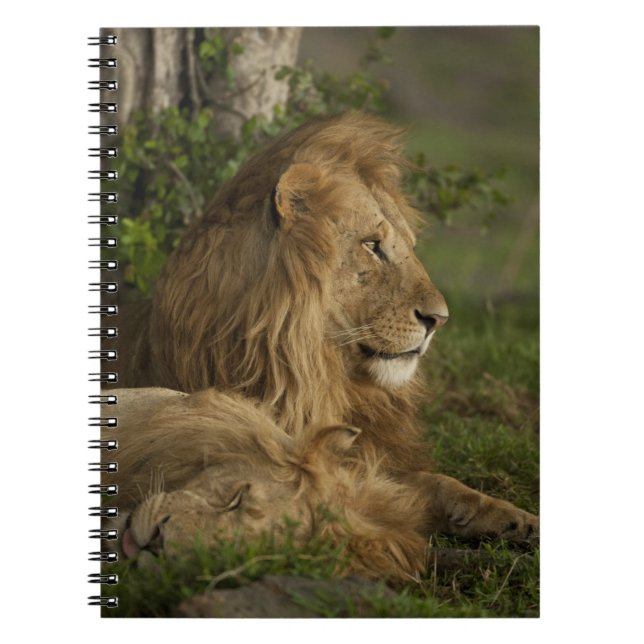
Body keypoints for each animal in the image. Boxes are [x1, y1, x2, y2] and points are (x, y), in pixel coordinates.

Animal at [112, 111, 538, 542]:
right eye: (371, 245)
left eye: (410, 246)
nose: (439, 319)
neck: (320, 376)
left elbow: (438, 482)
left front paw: (513, 517)